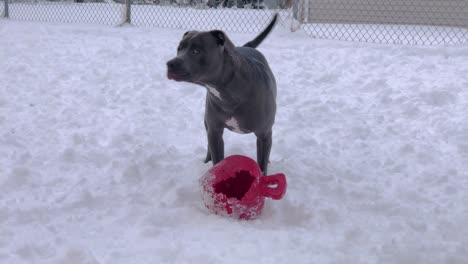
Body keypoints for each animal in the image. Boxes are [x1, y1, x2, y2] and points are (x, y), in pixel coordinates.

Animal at [166, 13, 278, 174]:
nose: (170, 64)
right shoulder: (215, 131)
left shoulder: (264, 135)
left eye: (196, 51)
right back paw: (206, 160)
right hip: (207, 124)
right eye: (179, 49)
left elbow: (262, 166)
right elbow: (217, 158)